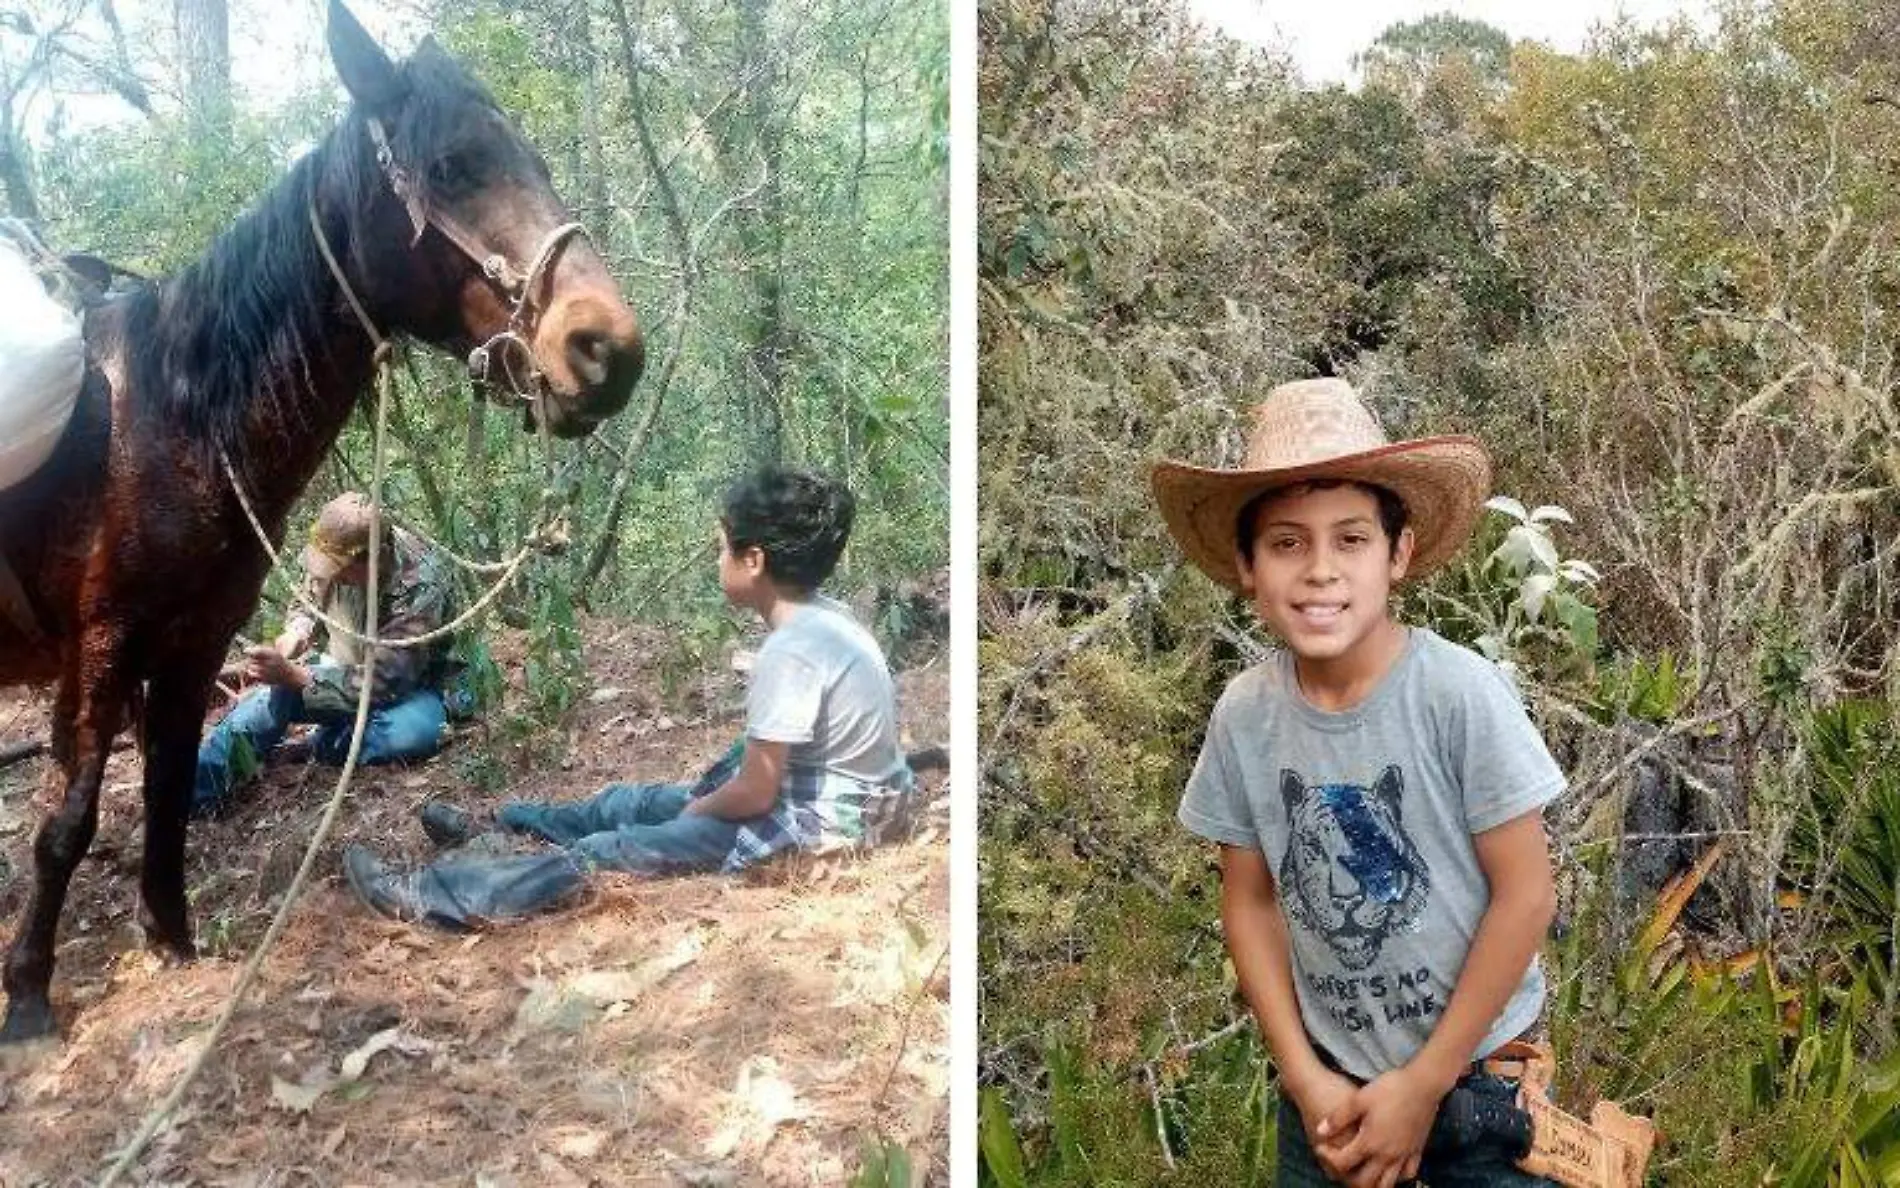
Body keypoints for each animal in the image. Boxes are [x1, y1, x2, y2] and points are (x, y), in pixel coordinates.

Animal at [0, 0, 646, 1034]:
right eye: (451, 166)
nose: (607, 350)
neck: (170, 420)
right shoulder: (100, 649)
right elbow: (67, 819)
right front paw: (27, 995)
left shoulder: (192, 645)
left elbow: (167, 789)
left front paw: (171, 941)